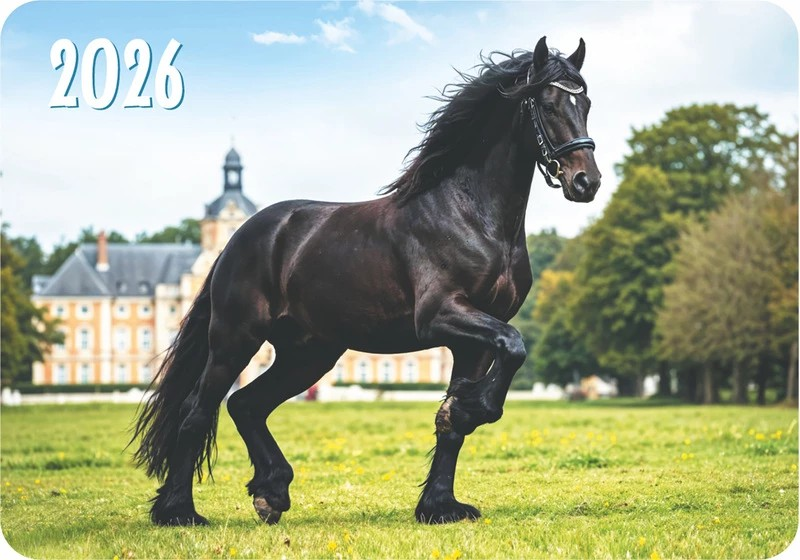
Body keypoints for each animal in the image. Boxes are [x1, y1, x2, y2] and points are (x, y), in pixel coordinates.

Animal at [131, 36, 600, 526]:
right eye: (547, 102)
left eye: (585, 101)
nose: (586, 182)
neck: (470, 214)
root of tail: (237, 239)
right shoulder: (441, 317)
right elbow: (513, 345)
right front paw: (468, 411)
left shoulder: (472, 341)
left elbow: (457, 422)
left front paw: (441, 502)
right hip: (234, 340)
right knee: (197, 412)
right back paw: (179, 511)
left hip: (309, 353)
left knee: (246, 404)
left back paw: (270, 492)